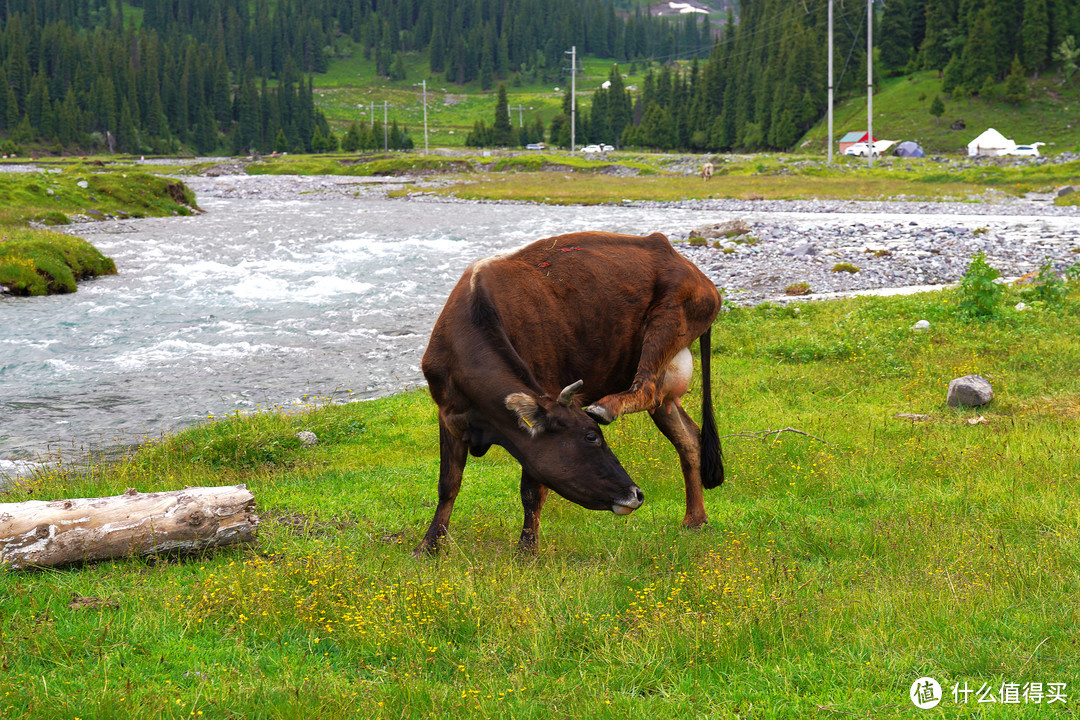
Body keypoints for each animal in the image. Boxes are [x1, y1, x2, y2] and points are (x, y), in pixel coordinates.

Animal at [416, 231, 721, 557]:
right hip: (664, 386)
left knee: (648, 388)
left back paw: (606, 407)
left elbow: (531, 491)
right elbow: (448, 483)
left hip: (667, 321)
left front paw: (527, 551)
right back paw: (694, 518)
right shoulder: (449, 415)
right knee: (689, 438)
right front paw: (428, 545)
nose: (636, 494)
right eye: (591, 438)